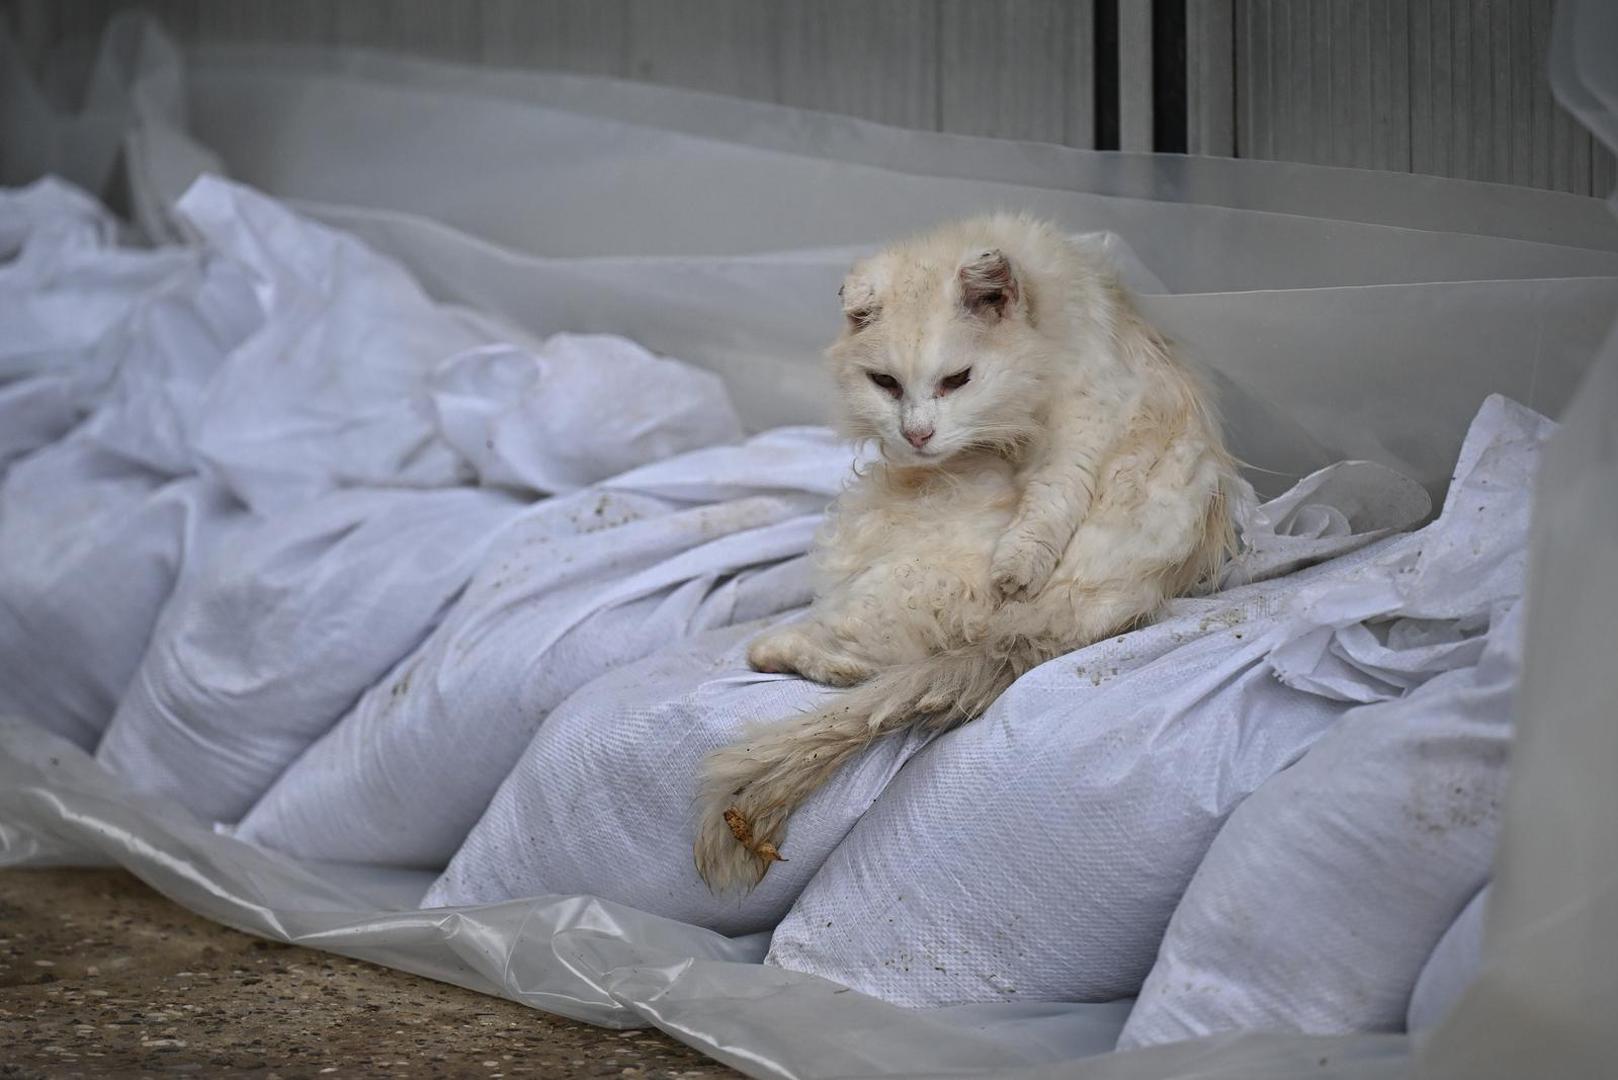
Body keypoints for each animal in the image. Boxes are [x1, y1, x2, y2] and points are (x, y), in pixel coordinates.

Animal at [692, 215, 1236, 893]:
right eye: (885, 384)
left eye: (957, 381)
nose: (917, 436)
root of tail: (1043, 637)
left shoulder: (1085, 420)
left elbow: (1050, 503)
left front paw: (1016, 568)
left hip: (886, 552)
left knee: (852, 657)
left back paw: (768, 647)